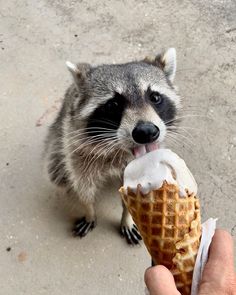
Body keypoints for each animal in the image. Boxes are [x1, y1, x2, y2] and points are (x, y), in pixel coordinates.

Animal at [45, 48, 180, 245]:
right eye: (113, 104)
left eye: (155, 97)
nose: (146, 132)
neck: (119, 150)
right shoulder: (76, 149)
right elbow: (83, 186)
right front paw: (89, 210)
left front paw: (127, 217)